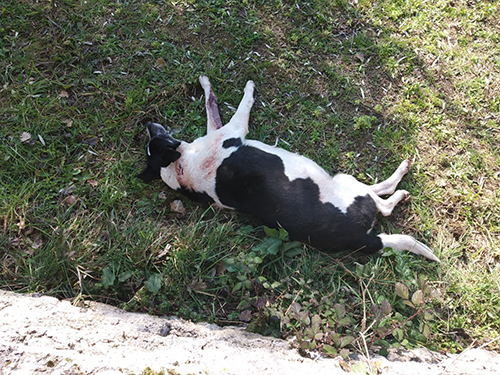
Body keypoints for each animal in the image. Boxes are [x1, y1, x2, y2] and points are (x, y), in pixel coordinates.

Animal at [139, 76, 440, 262]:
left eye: (154, 138)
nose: (148, 122)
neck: (180, 169)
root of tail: (362, 239)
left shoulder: (220, 130)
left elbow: (210, 102)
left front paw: (204, 81)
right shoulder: (234, 129)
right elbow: (243, 103)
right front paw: (249, 88)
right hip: (346, 183)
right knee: (384, 201)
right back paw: (401, 179)